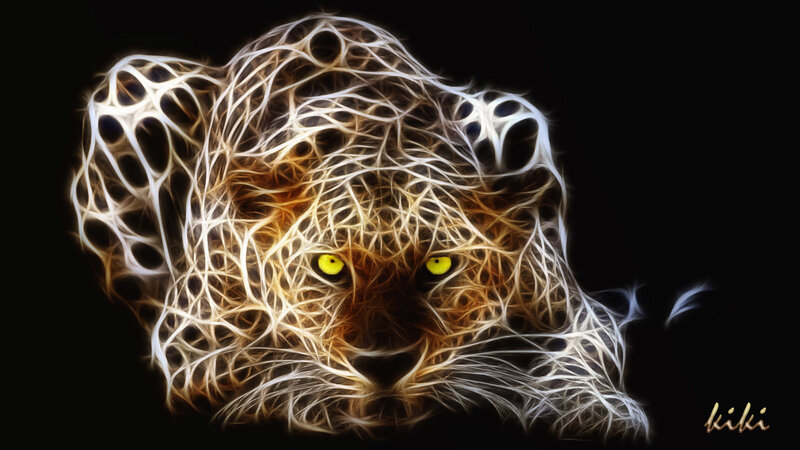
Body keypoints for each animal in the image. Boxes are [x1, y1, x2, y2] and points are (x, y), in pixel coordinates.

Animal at [70, 14, 649, 440]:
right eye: (329, 266)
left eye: (439, 265)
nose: (385, 366)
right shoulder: (190, 345)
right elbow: (267, 368)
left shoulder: (577, 312)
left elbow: (581, 353)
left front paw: (593, 410)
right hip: (128, 86)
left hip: (513, 111)